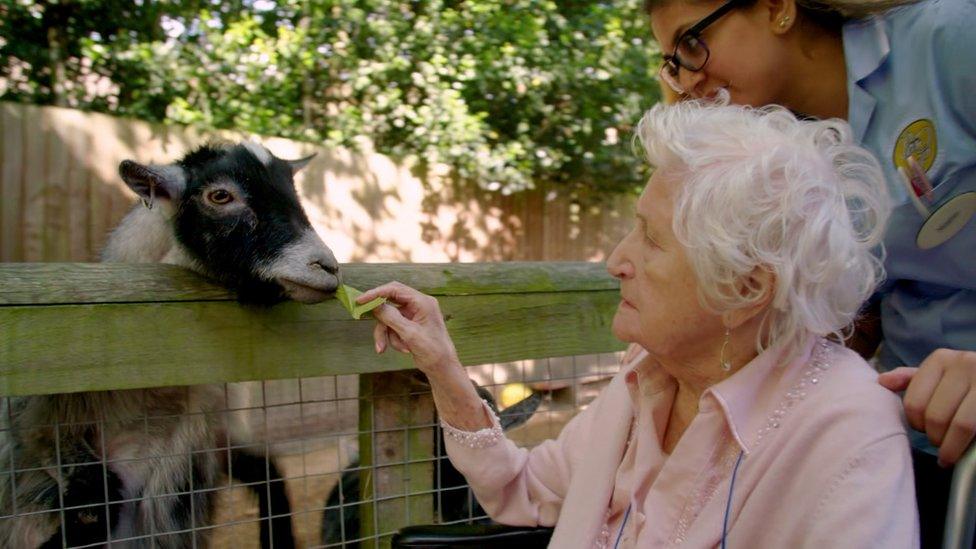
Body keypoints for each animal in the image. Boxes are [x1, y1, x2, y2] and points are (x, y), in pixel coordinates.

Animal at [0, 140, 340, 544]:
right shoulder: (41, 428)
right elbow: (91, 503)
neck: (153, 395)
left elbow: (267, 473)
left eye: (293, 190)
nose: (326, 268)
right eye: (220, 195)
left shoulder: (216, 436)